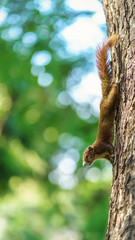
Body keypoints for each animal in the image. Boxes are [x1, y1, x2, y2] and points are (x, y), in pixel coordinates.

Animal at [83, 34, 118, 167]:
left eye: (87, 156)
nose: (84, 164)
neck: (97, 153)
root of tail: (102, 100)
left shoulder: (104, 146)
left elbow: (111, 148)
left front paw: (114, 155)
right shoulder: (104, 154)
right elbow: (109, 158)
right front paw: (112, 161)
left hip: (108, 104)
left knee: (113, 94)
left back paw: (116, 84)